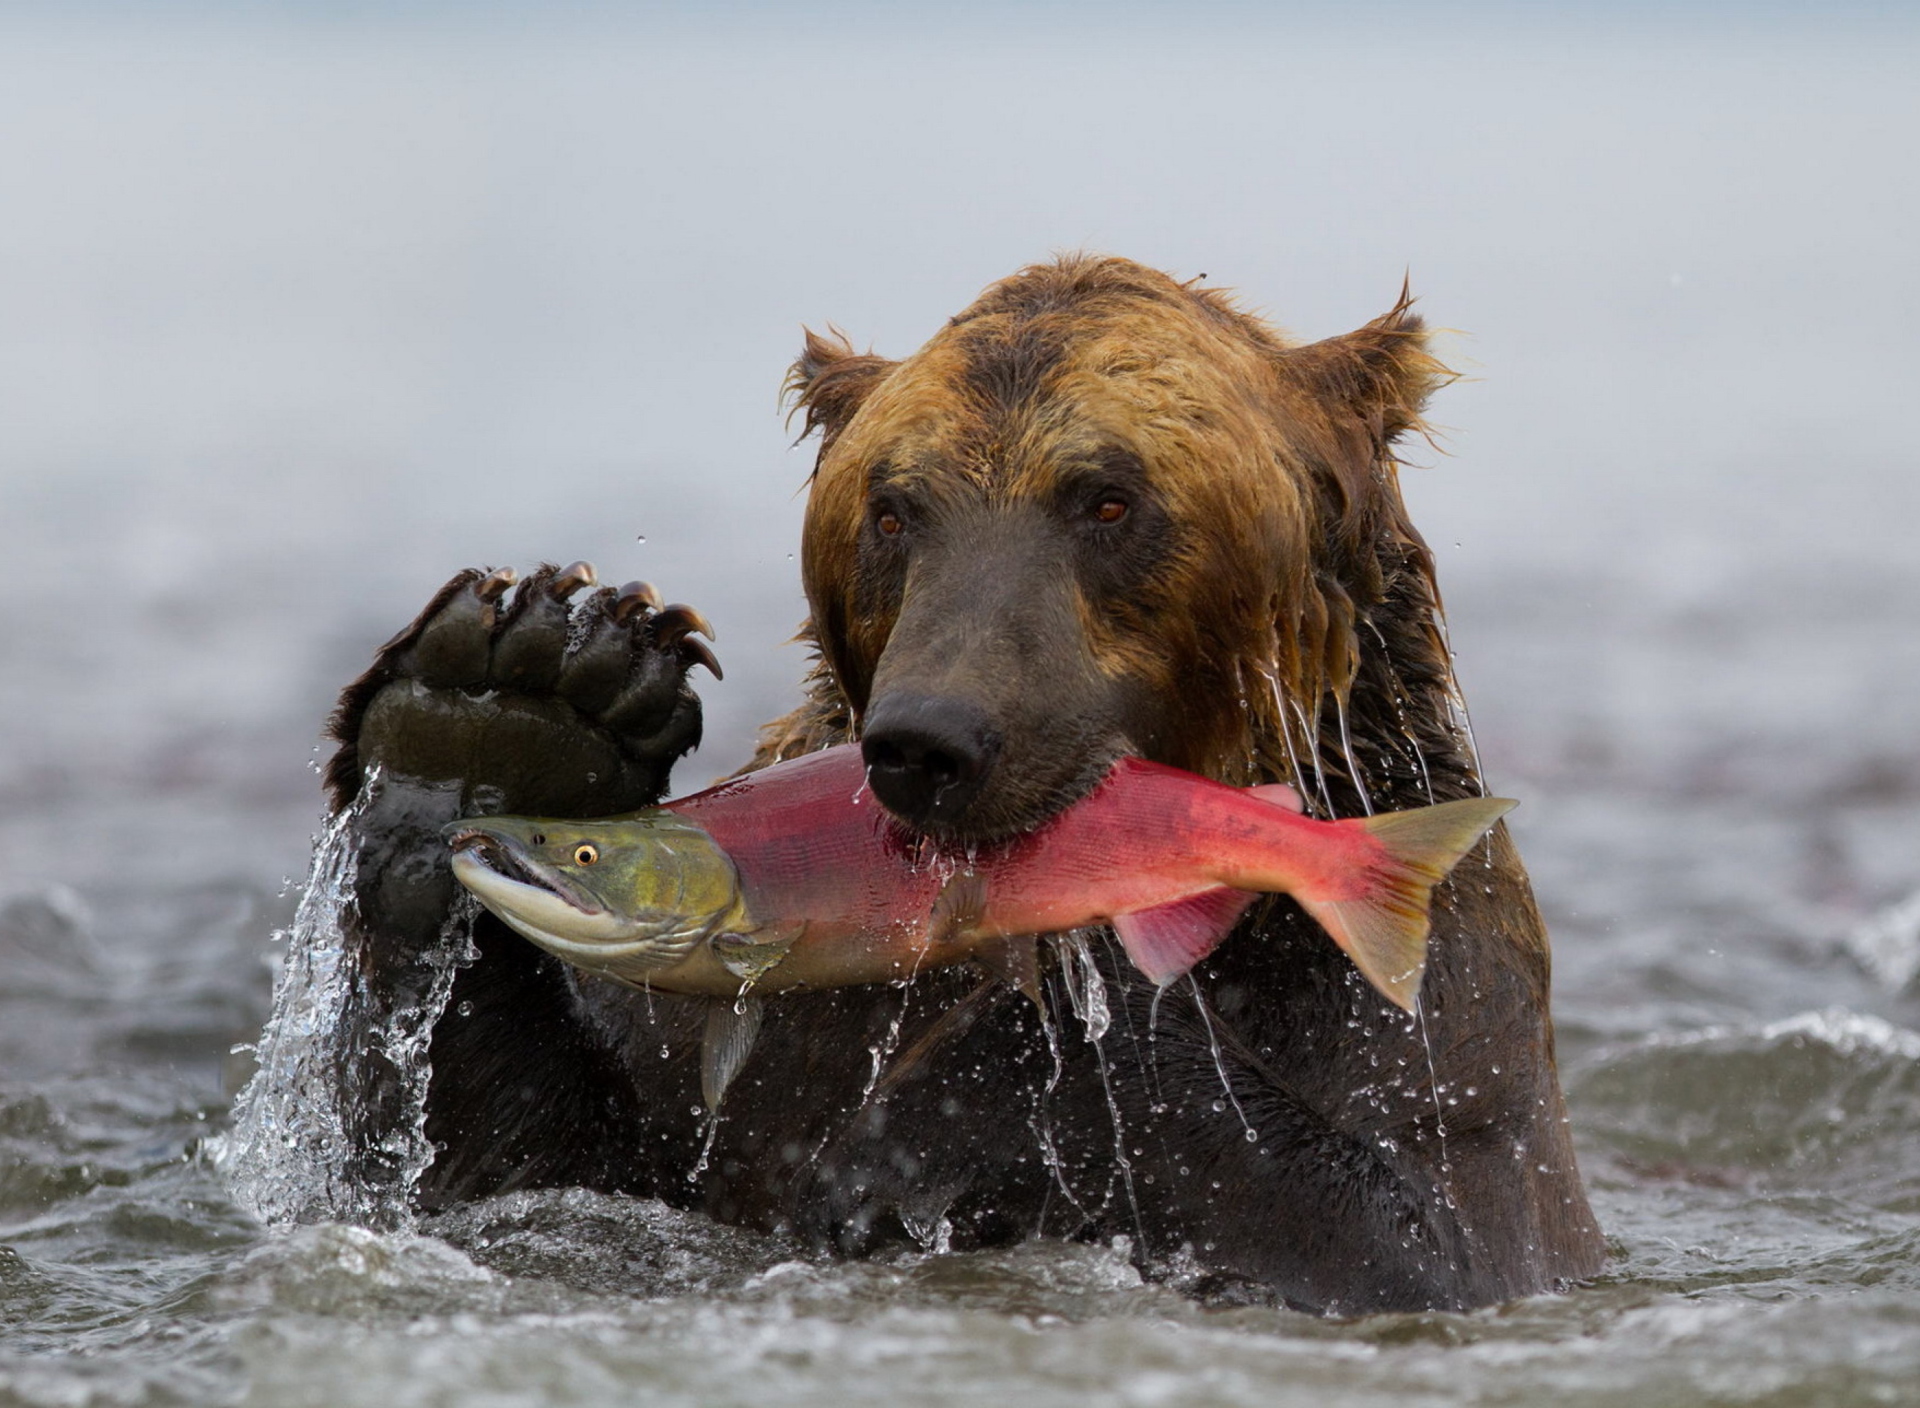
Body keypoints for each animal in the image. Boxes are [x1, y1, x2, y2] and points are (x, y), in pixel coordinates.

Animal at [326, 249, 1605, 1306]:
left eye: (1108, 497)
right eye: (894, 509)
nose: (930, 739)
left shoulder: (1424, 1018)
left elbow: (1422, 1234)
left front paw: (949, 1102)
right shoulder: (734, 1045)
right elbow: (512, 1172)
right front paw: (510, 703)